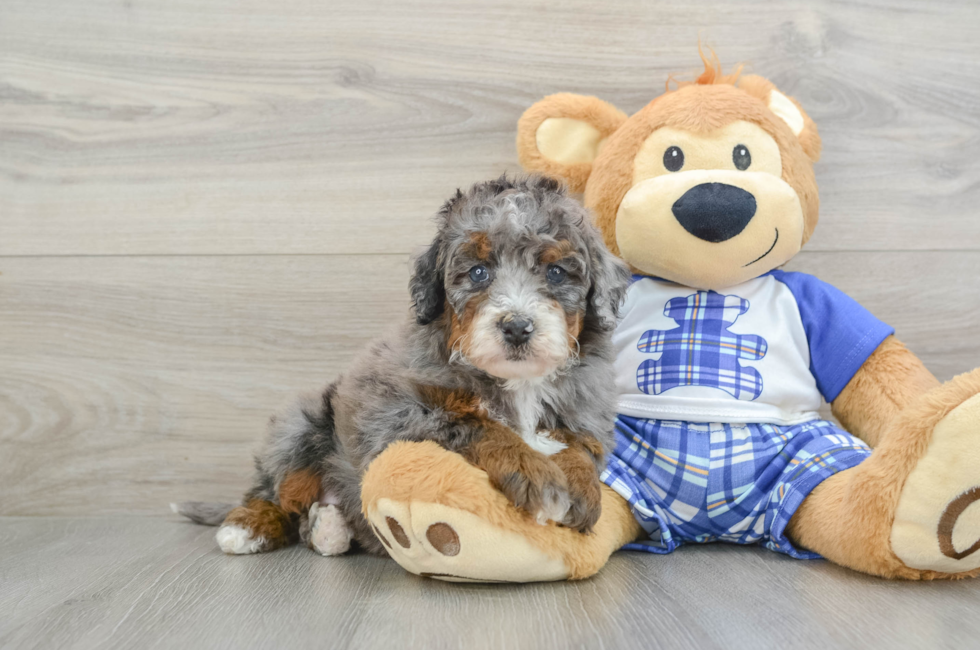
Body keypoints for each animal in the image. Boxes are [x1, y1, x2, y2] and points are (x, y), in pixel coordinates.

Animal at [177, 175, 632, 556]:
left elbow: (579, 448)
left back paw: (328, 528)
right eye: (478, 272)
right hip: (298, 427)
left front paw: (582, 492)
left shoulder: (587, 416)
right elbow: (479, 425)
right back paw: (247, 527)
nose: (517, 327)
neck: (519, 383)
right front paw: (536, 476)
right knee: (274, 493)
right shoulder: (400, 415)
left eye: (556, 272)